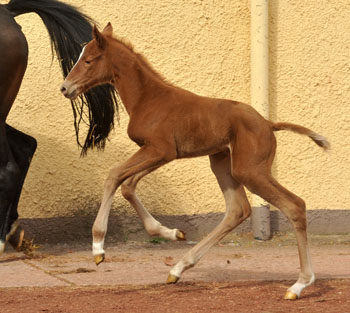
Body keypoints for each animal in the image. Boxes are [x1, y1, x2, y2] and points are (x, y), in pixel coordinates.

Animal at [60, 23, 328, 298]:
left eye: (89, 60)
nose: (65, 88)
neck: (148, 97)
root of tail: (268, 123)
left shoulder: (160, 150)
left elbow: (114, 176)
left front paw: (98, 248)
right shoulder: (160, 154)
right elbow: (128, 185)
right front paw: (172, 233)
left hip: (250, 170)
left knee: (294, 205)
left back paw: (299, 285)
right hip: (222, 162)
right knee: (237, 209)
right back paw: (178, 268)